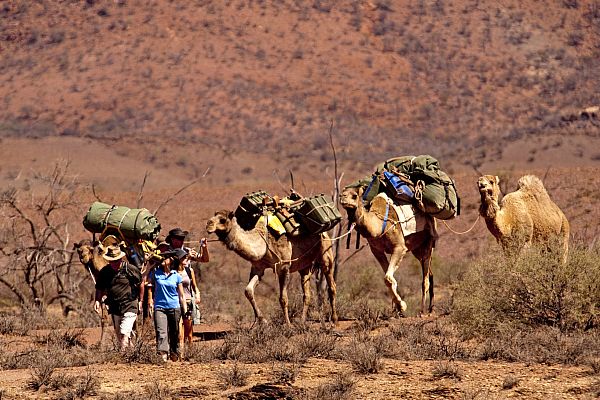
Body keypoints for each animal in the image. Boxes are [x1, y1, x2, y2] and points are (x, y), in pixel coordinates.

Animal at [206, 209, 338, 324]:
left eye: (222, 220)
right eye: (214, 215)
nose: (208, 224)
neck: (263, 240)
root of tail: (325, 232)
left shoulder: (284, 266)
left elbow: (283, 298)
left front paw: (288, 325)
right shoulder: (258, 267)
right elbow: (248, 291)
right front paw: (262, 320)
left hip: (326, 253)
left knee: (331, 286)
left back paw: (334, 321)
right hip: (305, 266)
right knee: (307, 294)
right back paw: (302, 322)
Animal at [340, 187, 438, 316]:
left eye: (355, 195)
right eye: (342, 193)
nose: (342, 198)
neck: (379, 226)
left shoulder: (399, 247)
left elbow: (388, 278)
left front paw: (401, 306)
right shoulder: (377, 251)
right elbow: (390, 279)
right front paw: (398, 307)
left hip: (429, 241)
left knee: (425, 278)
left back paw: (422, 311)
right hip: (417, 248)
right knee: (430, 273)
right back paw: (431, 309)